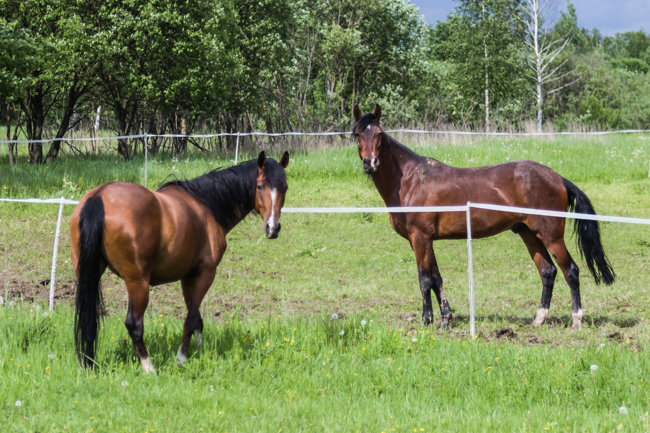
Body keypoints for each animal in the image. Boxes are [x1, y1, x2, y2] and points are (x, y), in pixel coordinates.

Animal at [70, 149, 288, 372]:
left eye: (284, 187)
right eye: (260, 186)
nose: (273, 228)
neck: (206, 205)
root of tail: (99, 196)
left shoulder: (188, 277)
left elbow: (197, 318)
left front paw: (201, 350)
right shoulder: (205, 274)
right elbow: (190, 318)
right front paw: (182, 357)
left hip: (89, 275)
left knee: (87, 317)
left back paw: (88, 362)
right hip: (138, 283)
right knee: (134, 323)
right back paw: (149, 368)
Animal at [354, 104, 612, 328]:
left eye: (378, 133)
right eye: (357, 133)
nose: (370, 163)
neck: (411, 179)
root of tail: (557, 178)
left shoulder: (420, 238)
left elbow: (425, 279)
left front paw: (427, 321)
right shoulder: (424, 241)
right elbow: (437, 279)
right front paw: (445, 319)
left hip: (551, 236)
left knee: (571, 271)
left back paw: (576, 320)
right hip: (528, 234)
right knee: (548, 272)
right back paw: (539, 319)